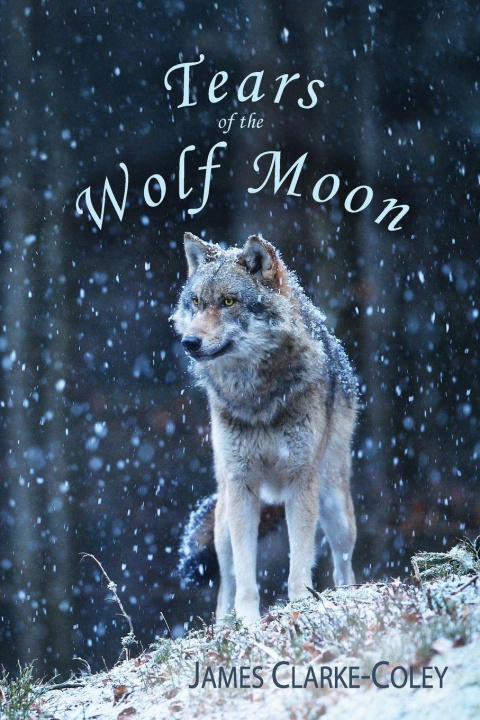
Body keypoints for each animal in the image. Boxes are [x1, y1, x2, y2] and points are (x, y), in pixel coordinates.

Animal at [172, 232, 358, 623]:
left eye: (228, 301)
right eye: (195, 302)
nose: (189, 342)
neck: (256, 396)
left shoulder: (300, 481)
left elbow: (299, 561)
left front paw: (301, 605)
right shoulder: (242, 486)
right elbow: (245, 573)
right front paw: (247, 620)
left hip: (335, 506)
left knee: (342, 562)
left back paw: (347, 595)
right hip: (223, 520)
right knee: (225, 582)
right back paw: (224, 623)